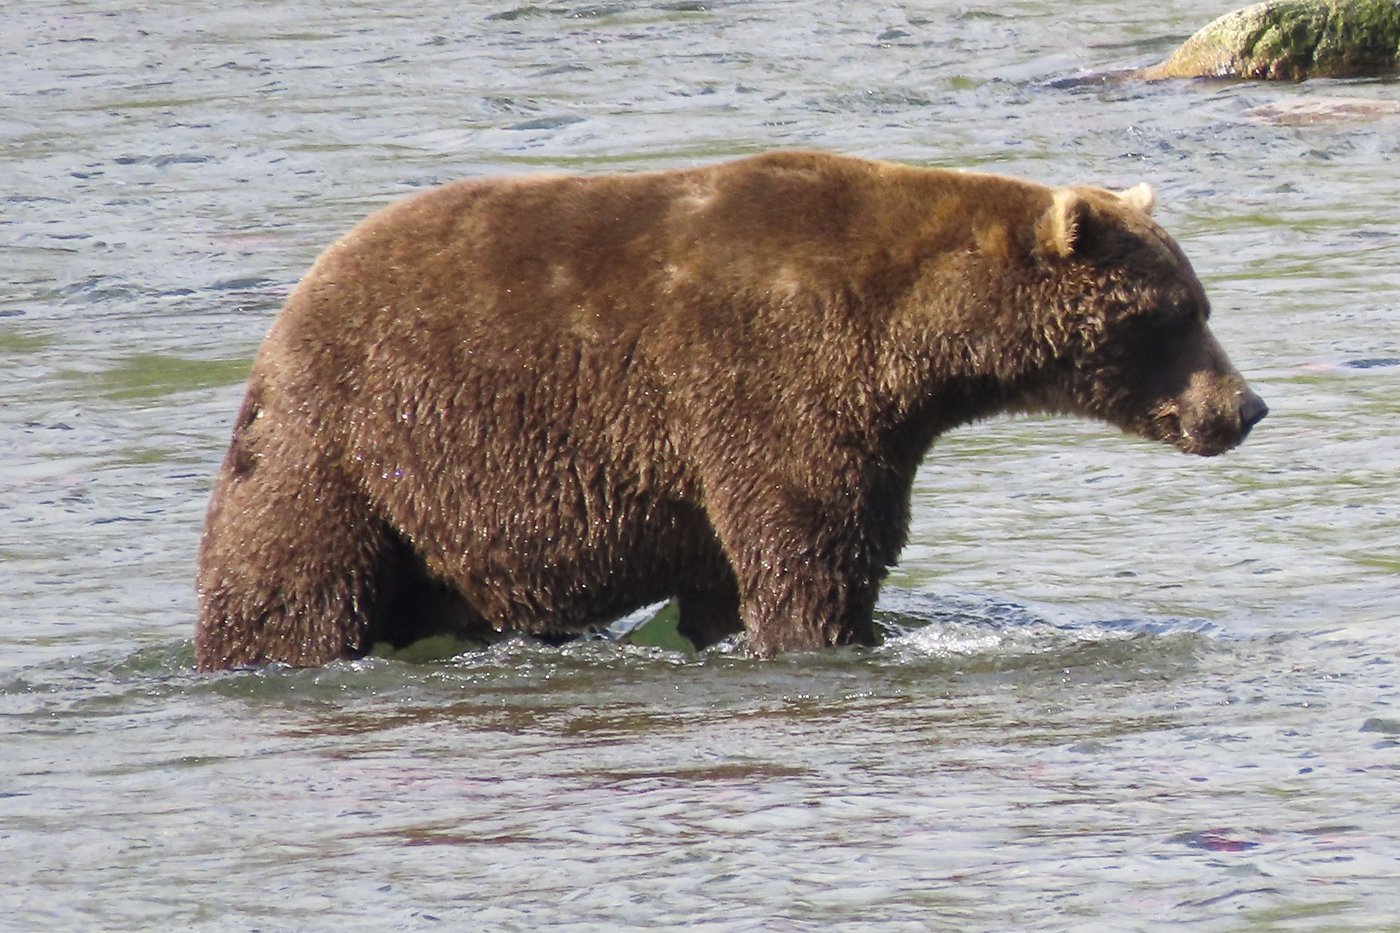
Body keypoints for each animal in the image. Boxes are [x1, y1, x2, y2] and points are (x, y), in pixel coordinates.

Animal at [195, 150, 1267, 670]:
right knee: (287, 579)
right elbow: (810, 543)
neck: (916, 343)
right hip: (349, 446)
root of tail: (290, 309)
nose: (1244, 405)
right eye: (1178, 313)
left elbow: (736, 570)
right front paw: (830, 635)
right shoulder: (776, 380)